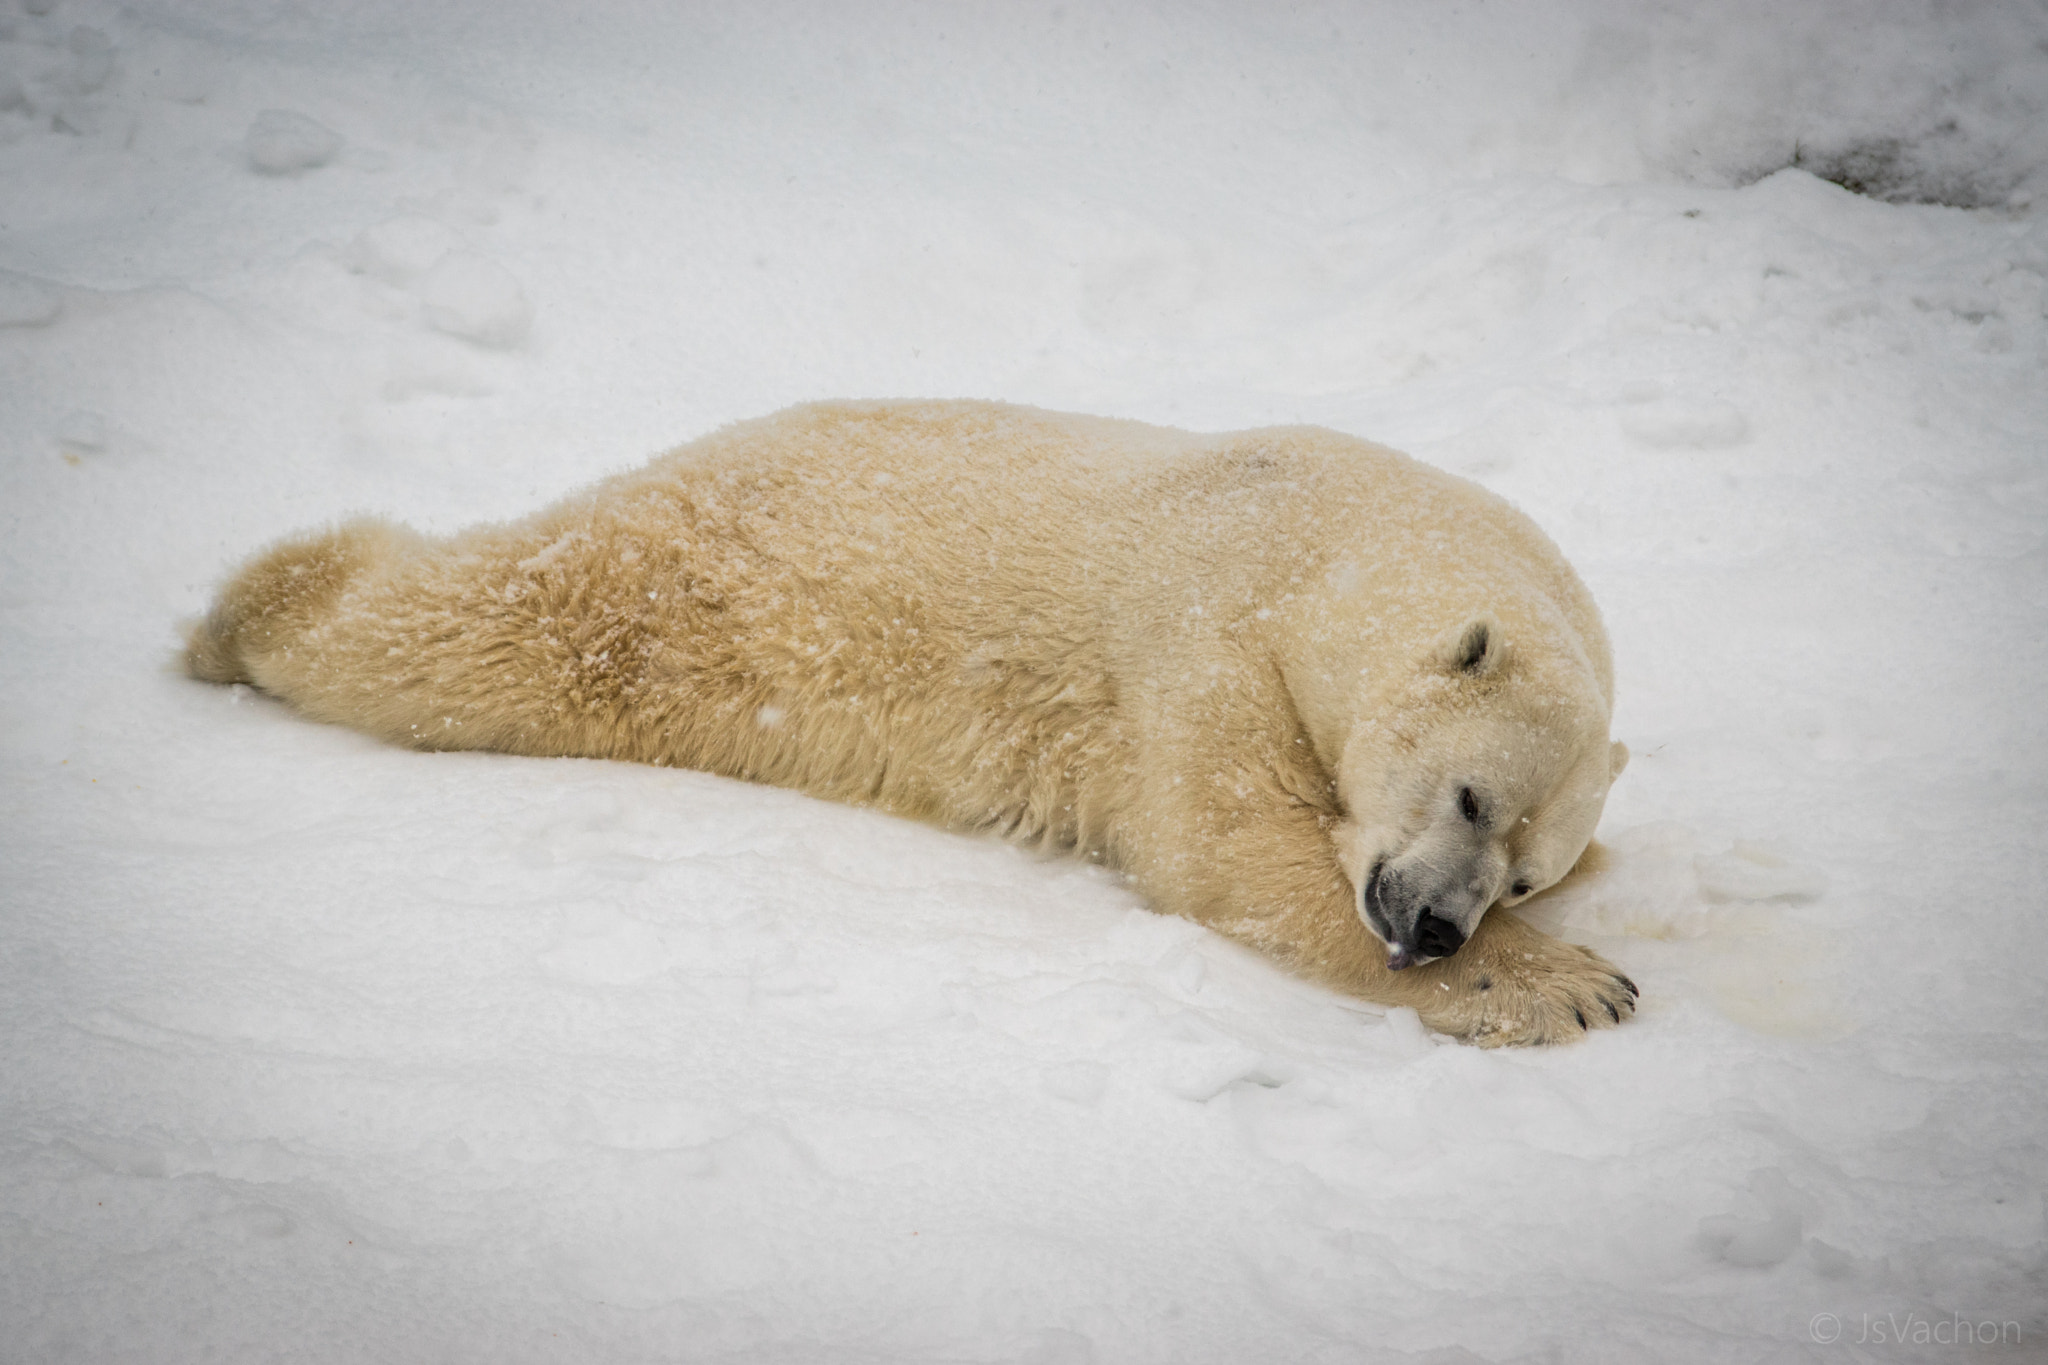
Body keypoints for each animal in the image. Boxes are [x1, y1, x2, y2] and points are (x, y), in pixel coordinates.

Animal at [186, 400, 1637, 1045]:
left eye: (1524, 873)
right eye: (1469, 796)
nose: (1436, 924)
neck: (1325, 548)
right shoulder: (1212, 630)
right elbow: (1229, 848)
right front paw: (1576, 988)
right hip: (666, 594)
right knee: (469, 632)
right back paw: (250, 613)